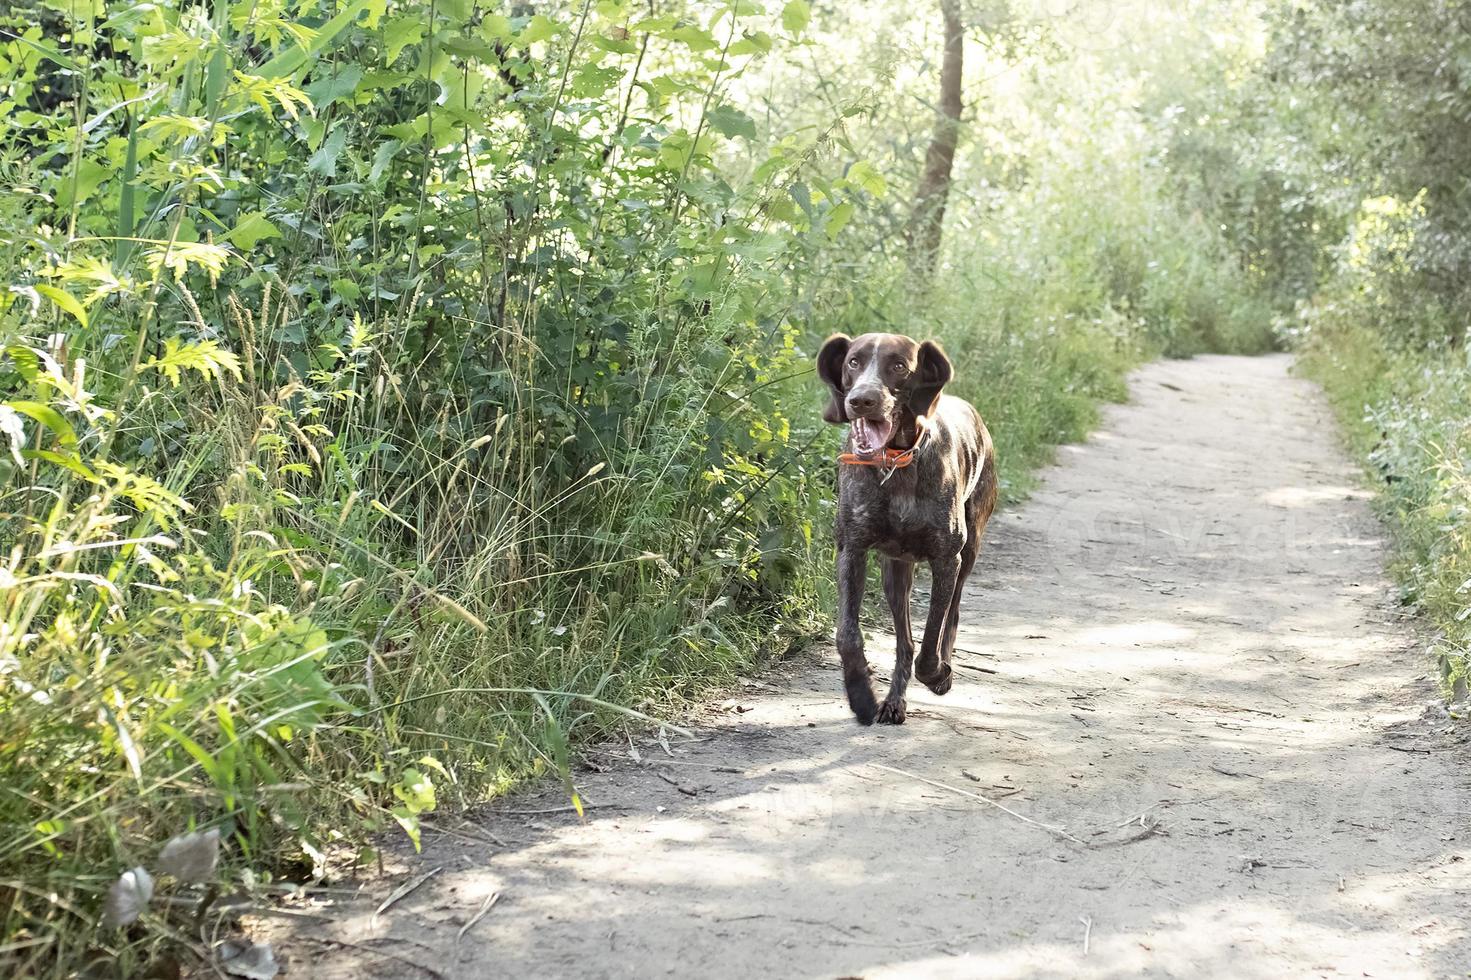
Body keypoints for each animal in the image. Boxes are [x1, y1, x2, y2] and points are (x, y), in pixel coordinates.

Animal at [817, 332, 1000, 721]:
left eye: (899, 365)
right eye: (853, 361)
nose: (861, 400)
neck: (895, 464)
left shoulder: (947, 560)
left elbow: (931, 639)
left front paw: (938, 674)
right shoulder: (851, 550)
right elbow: (847, 635)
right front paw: (861, 694)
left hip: (969, 550)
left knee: (951, 616)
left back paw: (942, 669)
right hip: (895, 574)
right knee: (905, 640)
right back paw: (894, 700)